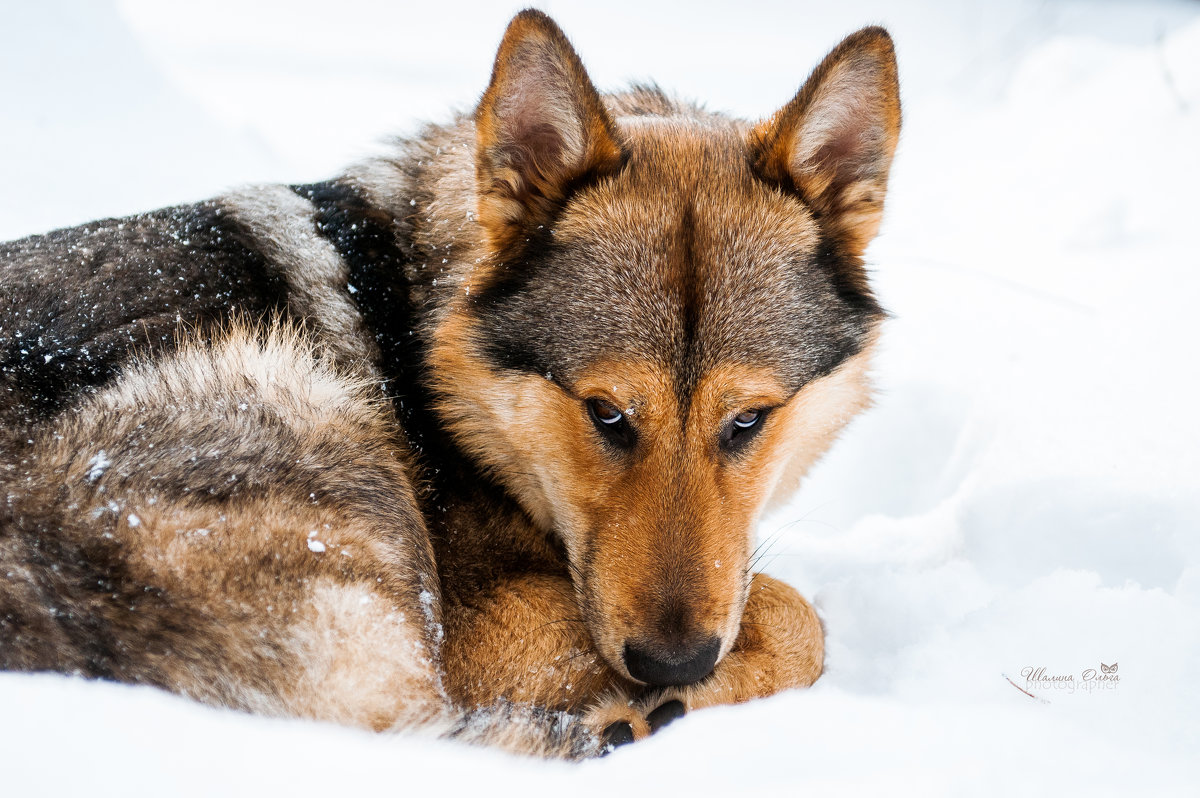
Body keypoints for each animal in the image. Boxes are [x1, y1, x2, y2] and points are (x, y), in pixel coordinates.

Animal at [0, 10, 902, 753]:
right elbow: (796, 617)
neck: (421, 338)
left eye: (748, 421)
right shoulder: (478, 634)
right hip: (293, 403)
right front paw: (668, 698)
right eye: (606, 413)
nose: (671, 664)